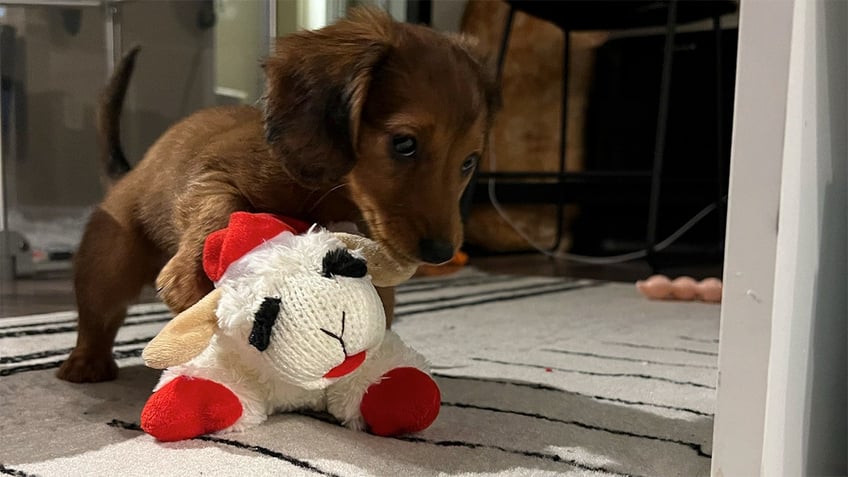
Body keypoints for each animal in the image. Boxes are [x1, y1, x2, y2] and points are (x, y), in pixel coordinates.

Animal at [58, 7, 496, 384]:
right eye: (404, 144)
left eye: (469, 162)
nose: (441, 253)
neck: (327, 193)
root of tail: (127, 174)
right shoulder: (211, 172)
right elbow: (220, 206)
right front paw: (194, 274)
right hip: (108, 263)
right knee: (97, 316)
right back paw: (85, 362)